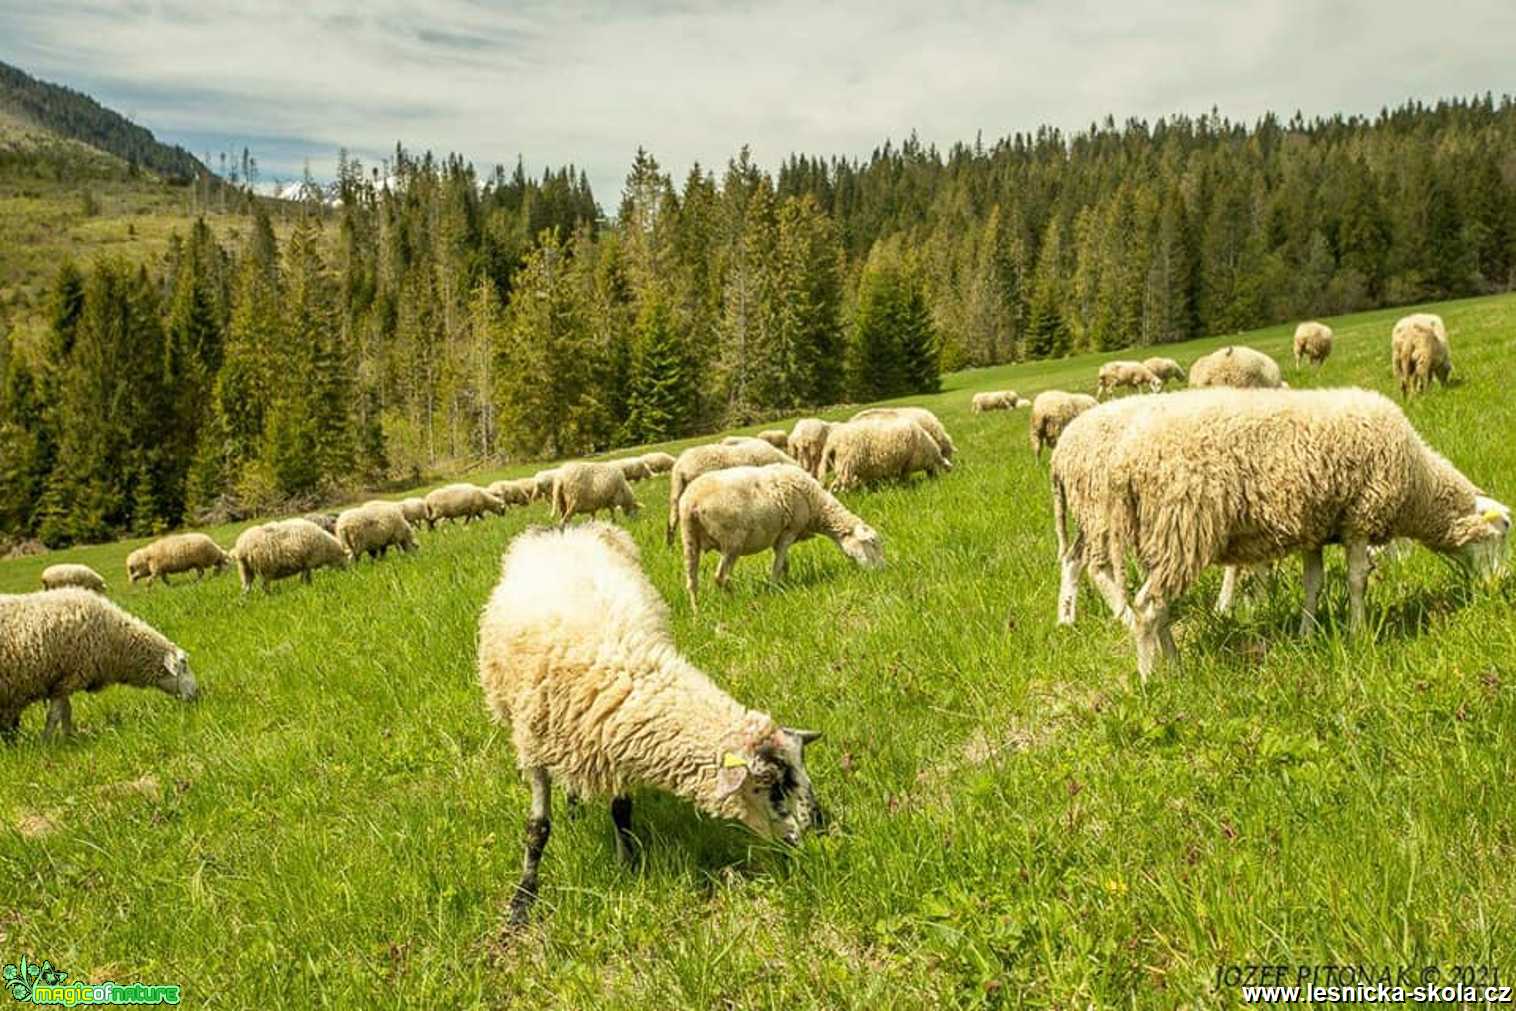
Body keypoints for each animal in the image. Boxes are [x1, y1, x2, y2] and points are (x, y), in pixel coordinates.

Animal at [0, 588, 198, 739]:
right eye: (184, 666)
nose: (197, 694)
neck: (114, 640)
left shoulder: (64, 681)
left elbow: (65, 711)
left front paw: (68, 737)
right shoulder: (69, 677)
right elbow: (56, 714)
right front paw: (48, 740)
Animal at [476, 527, 824, 927]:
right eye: (773, 787)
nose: (811, 837)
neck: (623, 673)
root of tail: (566, 532)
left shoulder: (615, 744)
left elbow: (621, 812)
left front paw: (627, 865)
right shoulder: (534, 747)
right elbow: (537, 829)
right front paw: (522, 900)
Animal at [679, 466, 885, 609]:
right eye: (872, 543)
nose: (882, 571)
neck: (816, 506)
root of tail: (691, 502)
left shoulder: (779, 536)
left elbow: (784, 563)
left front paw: (786, 583)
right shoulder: (789, 531)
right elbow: (778, 565)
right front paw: (774, 588)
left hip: (690, 539)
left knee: (691, 582)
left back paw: (696, 612)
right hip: (732, 541)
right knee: (720, 577)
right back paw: (735, 600)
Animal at [1049, 388, 1509, 679]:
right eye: (1504, 531)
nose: (1500, 586)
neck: (1419, 485)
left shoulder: (1315, 529)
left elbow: (1313, 584)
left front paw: (1308, 634)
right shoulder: (1359, 517)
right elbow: (1357, 581)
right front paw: (1359, 633)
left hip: (1155, 537)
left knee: (1149, 601)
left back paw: (1173, 663)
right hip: (1172, 526)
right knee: (1143, 602)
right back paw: (1151, 677)